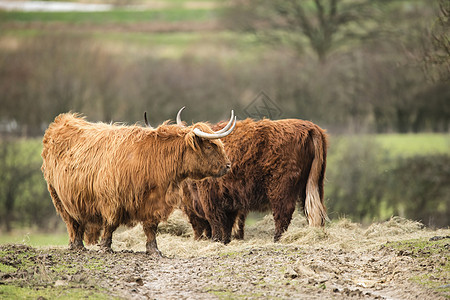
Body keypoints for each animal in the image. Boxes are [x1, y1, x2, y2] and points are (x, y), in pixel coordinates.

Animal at [178, 115, 328, 244]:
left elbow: (215, 221)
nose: (197, 238)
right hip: (314, 184)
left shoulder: (209, 196)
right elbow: (227, 224)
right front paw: (225, 241)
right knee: (315, 211)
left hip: (281, 187)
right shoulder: (228, 200)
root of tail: (310, 127)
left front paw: (216, 240)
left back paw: (277, 239)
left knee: (283, 213)